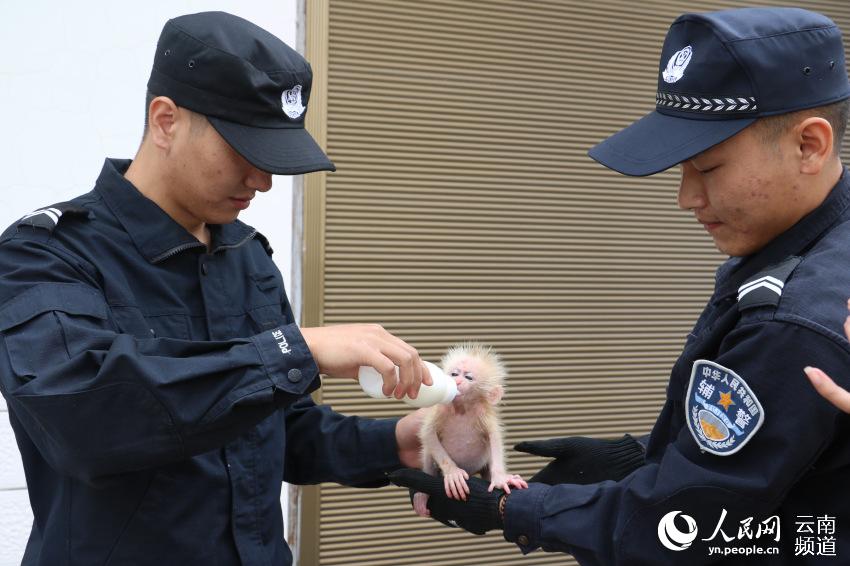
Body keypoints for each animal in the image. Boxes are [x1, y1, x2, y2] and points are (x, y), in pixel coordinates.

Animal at [414, 342, 528, 520]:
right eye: (454, 374)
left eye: (468, 377)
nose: (457, 380)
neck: (462, 409)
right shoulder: (441, 408)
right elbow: (427, 433)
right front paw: (453, 472)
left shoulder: (483, 413)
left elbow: (495, 438)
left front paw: (500, 478)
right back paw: (422, 495)